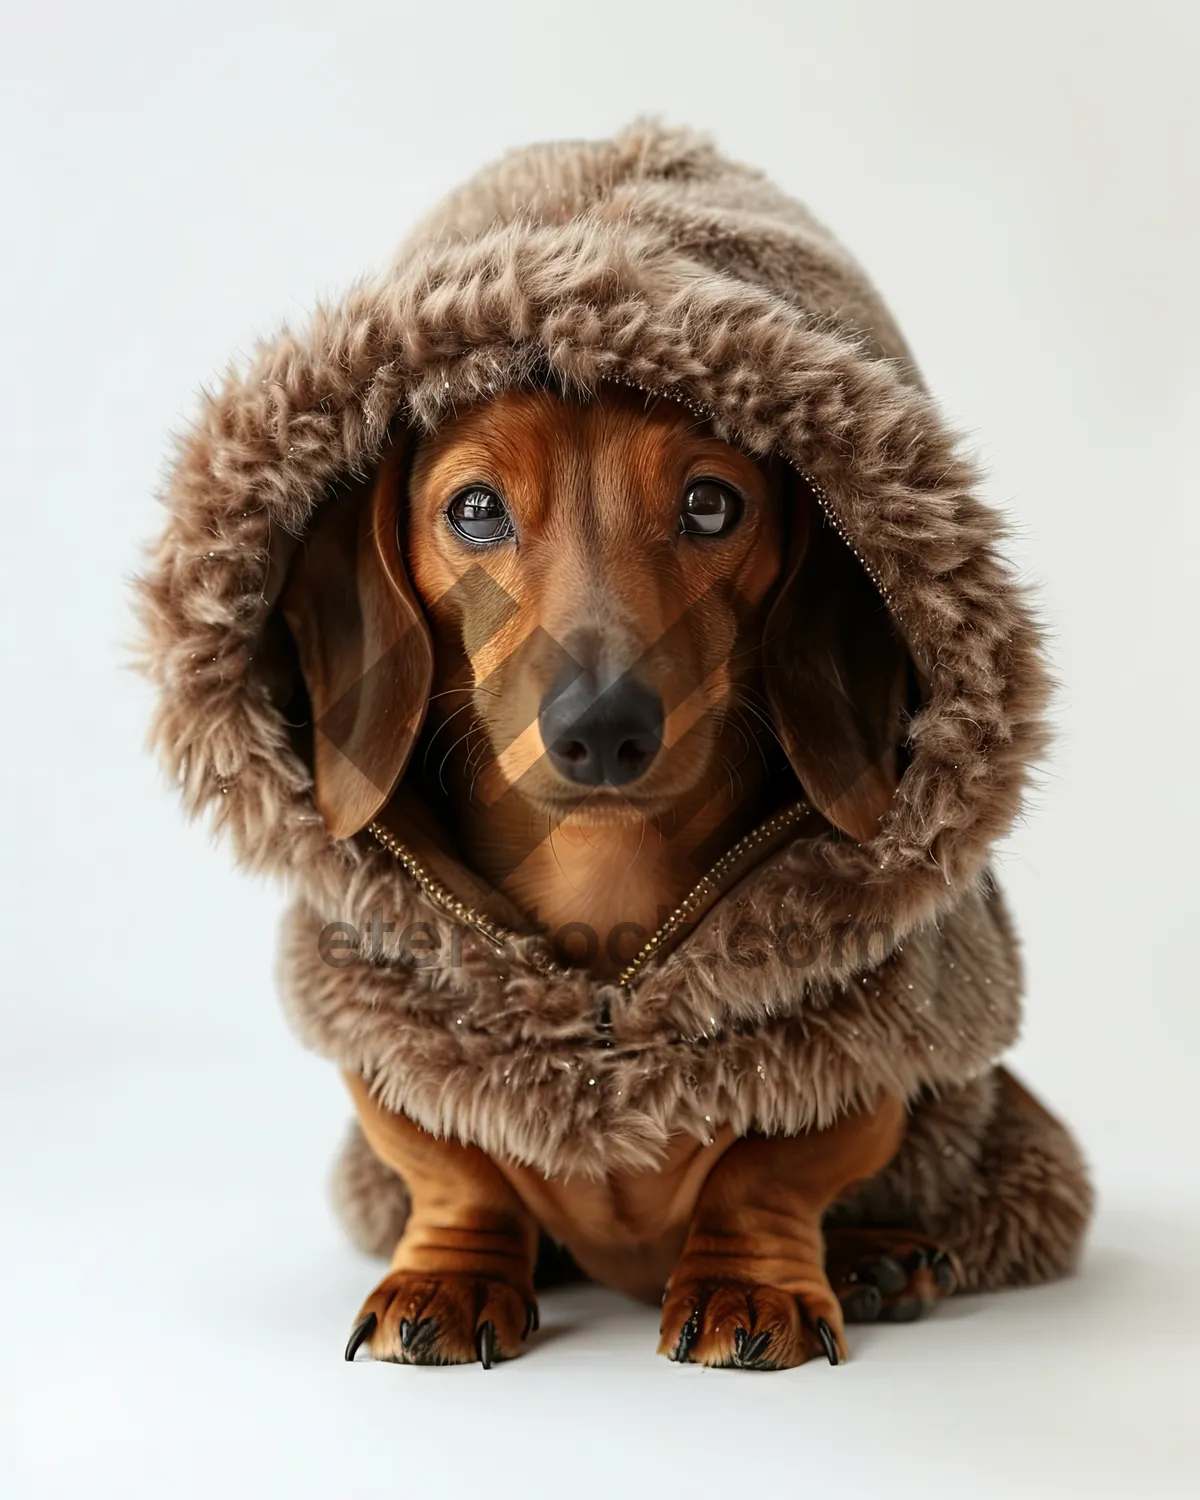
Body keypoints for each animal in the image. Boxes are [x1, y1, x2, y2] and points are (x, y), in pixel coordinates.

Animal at [276, 381, 954, 1368]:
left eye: (711, 503)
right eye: (475, 508)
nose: (601, 726)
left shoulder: (869, 1043)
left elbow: (765, 1173)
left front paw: (745, 1283)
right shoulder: (388, 1036)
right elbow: (457, 1172)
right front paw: (453, 1275)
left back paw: (882, 1260)